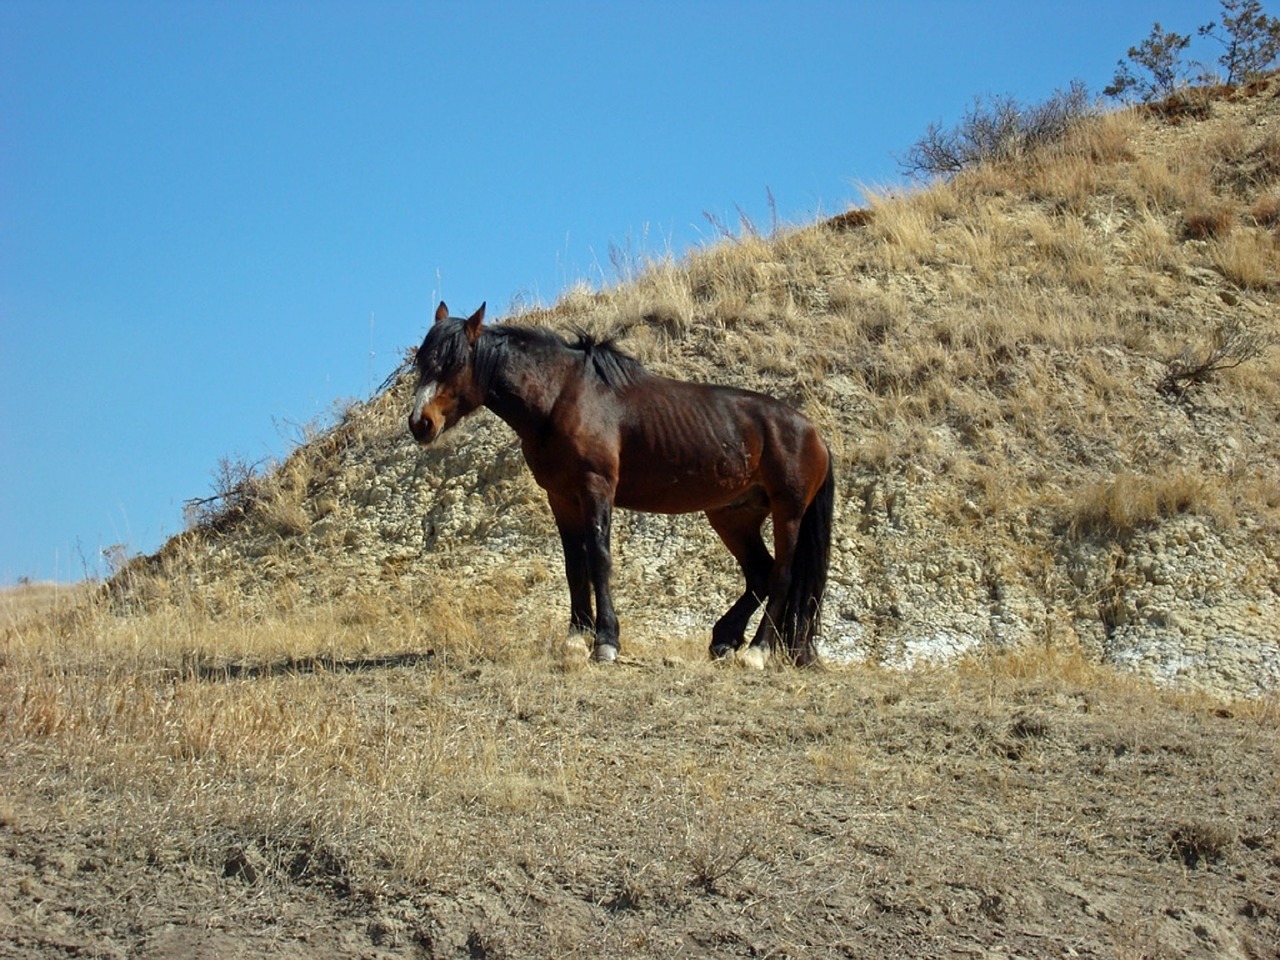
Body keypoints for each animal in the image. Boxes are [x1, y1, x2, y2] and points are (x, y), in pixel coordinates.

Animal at [404, 302, 834, 670]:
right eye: (421, 362)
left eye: (456, 362)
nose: (420, 423)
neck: (563, 397)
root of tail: (812, 433)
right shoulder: (561, 497)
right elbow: (574, 565)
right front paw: (576, 638)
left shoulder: (596, 488)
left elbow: (599, 558)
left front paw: (605, 641)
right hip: (734, 517)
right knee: (760, 573)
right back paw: (724, 639)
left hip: (787, 512)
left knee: (781, 576)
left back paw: (757, 651)